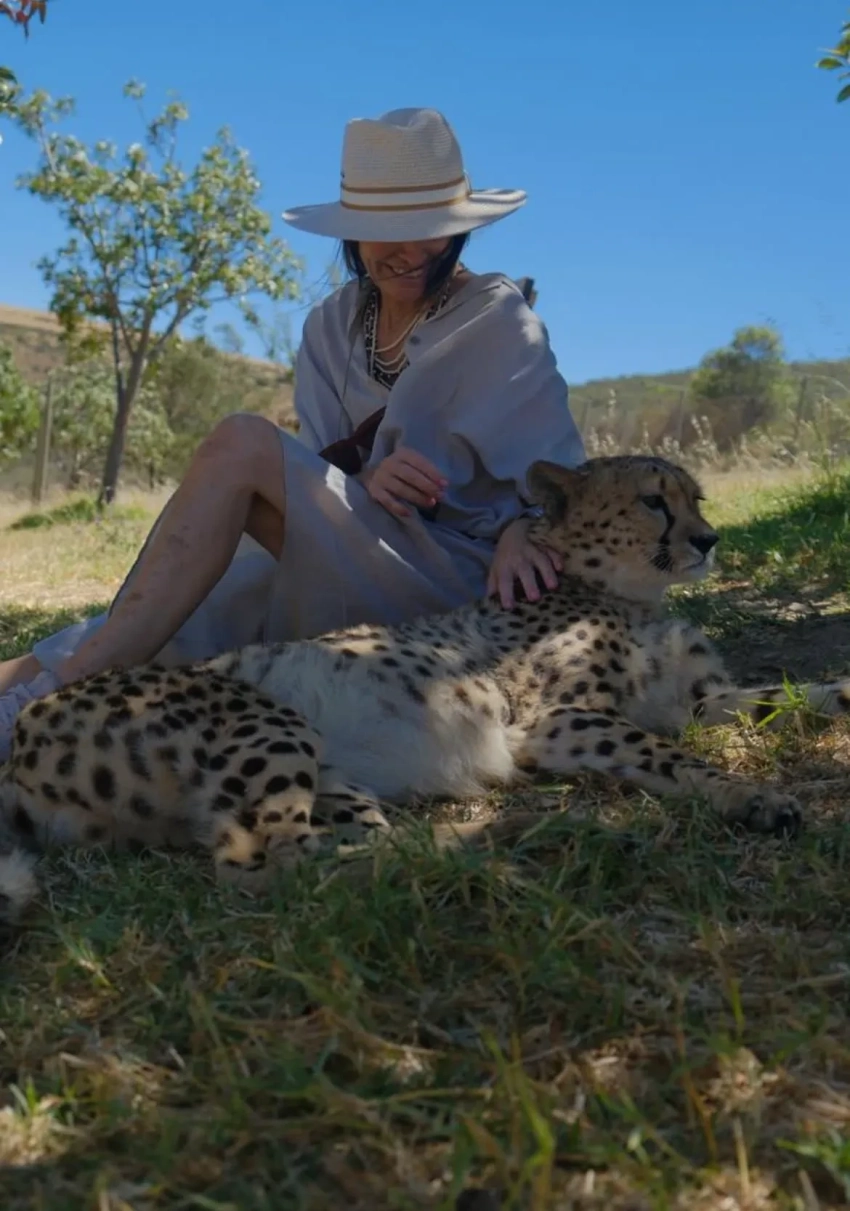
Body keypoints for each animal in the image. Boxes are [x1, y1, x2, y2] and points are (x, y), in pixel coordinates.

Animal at [3, 452, 850, 926]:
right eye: (652, 499)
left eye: (697, 497)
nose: (709, 540)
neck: (630, 594)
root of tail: (24, 737)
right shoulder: (552, 722)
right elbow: (672, 754)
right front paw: (753, 795)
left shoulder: (700, 698)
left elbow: (786, 692)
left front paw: (829, 697)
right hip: (268, 723)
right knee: (269, 864)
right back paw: (530, 852)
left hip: (327, 776)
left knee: (363, 842)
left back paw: (534, 835)